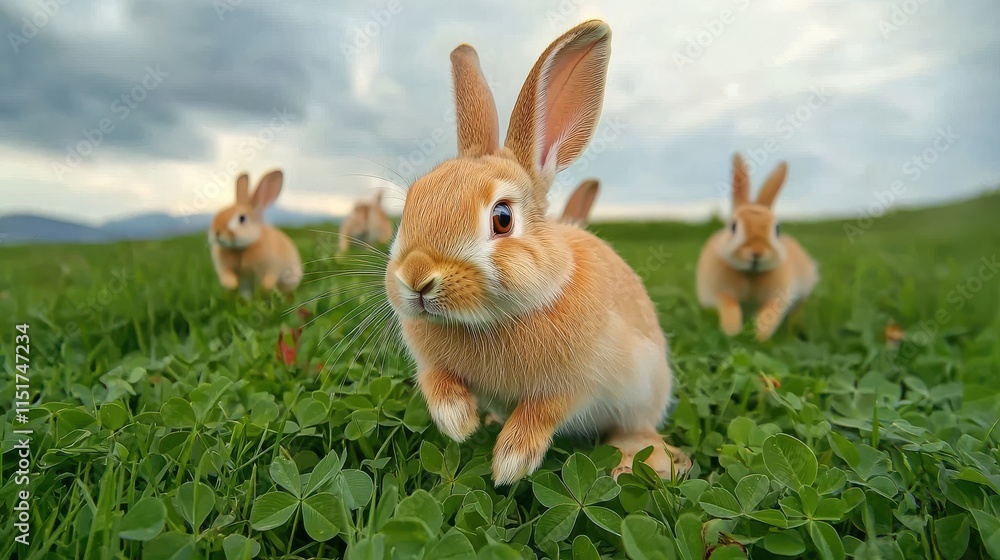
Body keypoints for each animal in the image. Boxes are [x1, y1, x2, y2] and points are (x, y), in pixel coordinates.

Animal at [209, 170, 303, 299]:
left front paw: (265, 288)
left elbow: (270, 276)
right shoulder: (228, 269)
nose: (217, 233)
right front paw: (232, 284)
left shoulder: (272, 266)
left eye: (242, 218)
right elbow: (227, 275)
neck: (241, 249)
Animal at [383, 20, 691, 486]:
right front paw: (460, 422)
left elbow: (543, 411)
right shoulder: (432, 367)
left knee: (634, 430)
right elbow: (437, 383)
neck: (490, 321)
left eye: (502, 218)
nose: (416, 277)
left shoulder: (576, 386)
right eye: (412, 203)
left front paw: (511, 461)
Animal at [696, 154, 818, 341]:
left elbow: (770, 311)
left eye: (777, 229)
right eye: (733, 227)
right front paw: (731, 331)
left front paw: (761, 336)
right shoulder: (718, 293)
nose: (757, 253)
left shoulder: (779, 296)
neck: (750, 274)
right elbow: (728, 304)